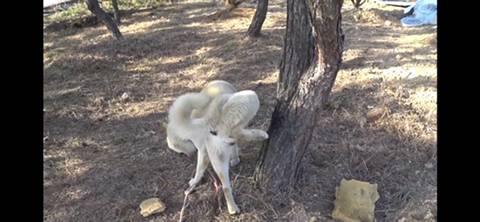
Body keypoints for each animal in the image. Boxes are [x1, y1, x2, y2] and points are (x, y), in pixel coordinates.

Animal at [167, 86, 268, 214]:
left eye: (178, 149)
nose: (186, 154)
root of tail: (207, 124)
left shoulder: (203, 151)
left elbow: (200, 170)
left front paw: (194, 181)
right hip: (250, 96)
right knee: (232, 131)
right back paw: (260, 134)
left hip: (217, 161)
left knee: (225, 187)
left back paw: (232, 208)